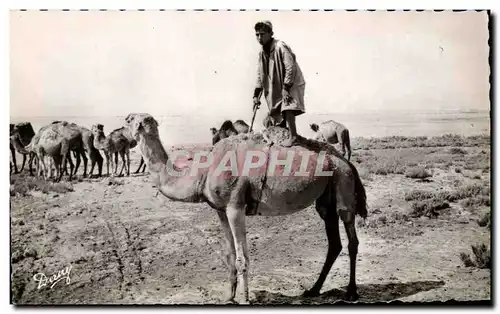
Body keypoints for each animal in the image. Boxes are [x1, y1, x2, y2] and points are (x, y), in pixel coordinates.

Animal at [126, 113, 368, 304]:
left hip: (343, 182)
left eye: (130, 119)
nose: (126, 130)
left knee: (351, 236)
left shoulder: (236, 206)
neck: (203, 172)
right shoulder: (220, 209)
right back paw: (313, 290)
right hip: (326, 196)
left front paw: (244, 299)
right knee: (334, 241)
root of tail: (346, 162)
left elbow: (243, 257)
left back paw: (351, 292)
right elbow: (230, 253)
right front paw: (229, 296)